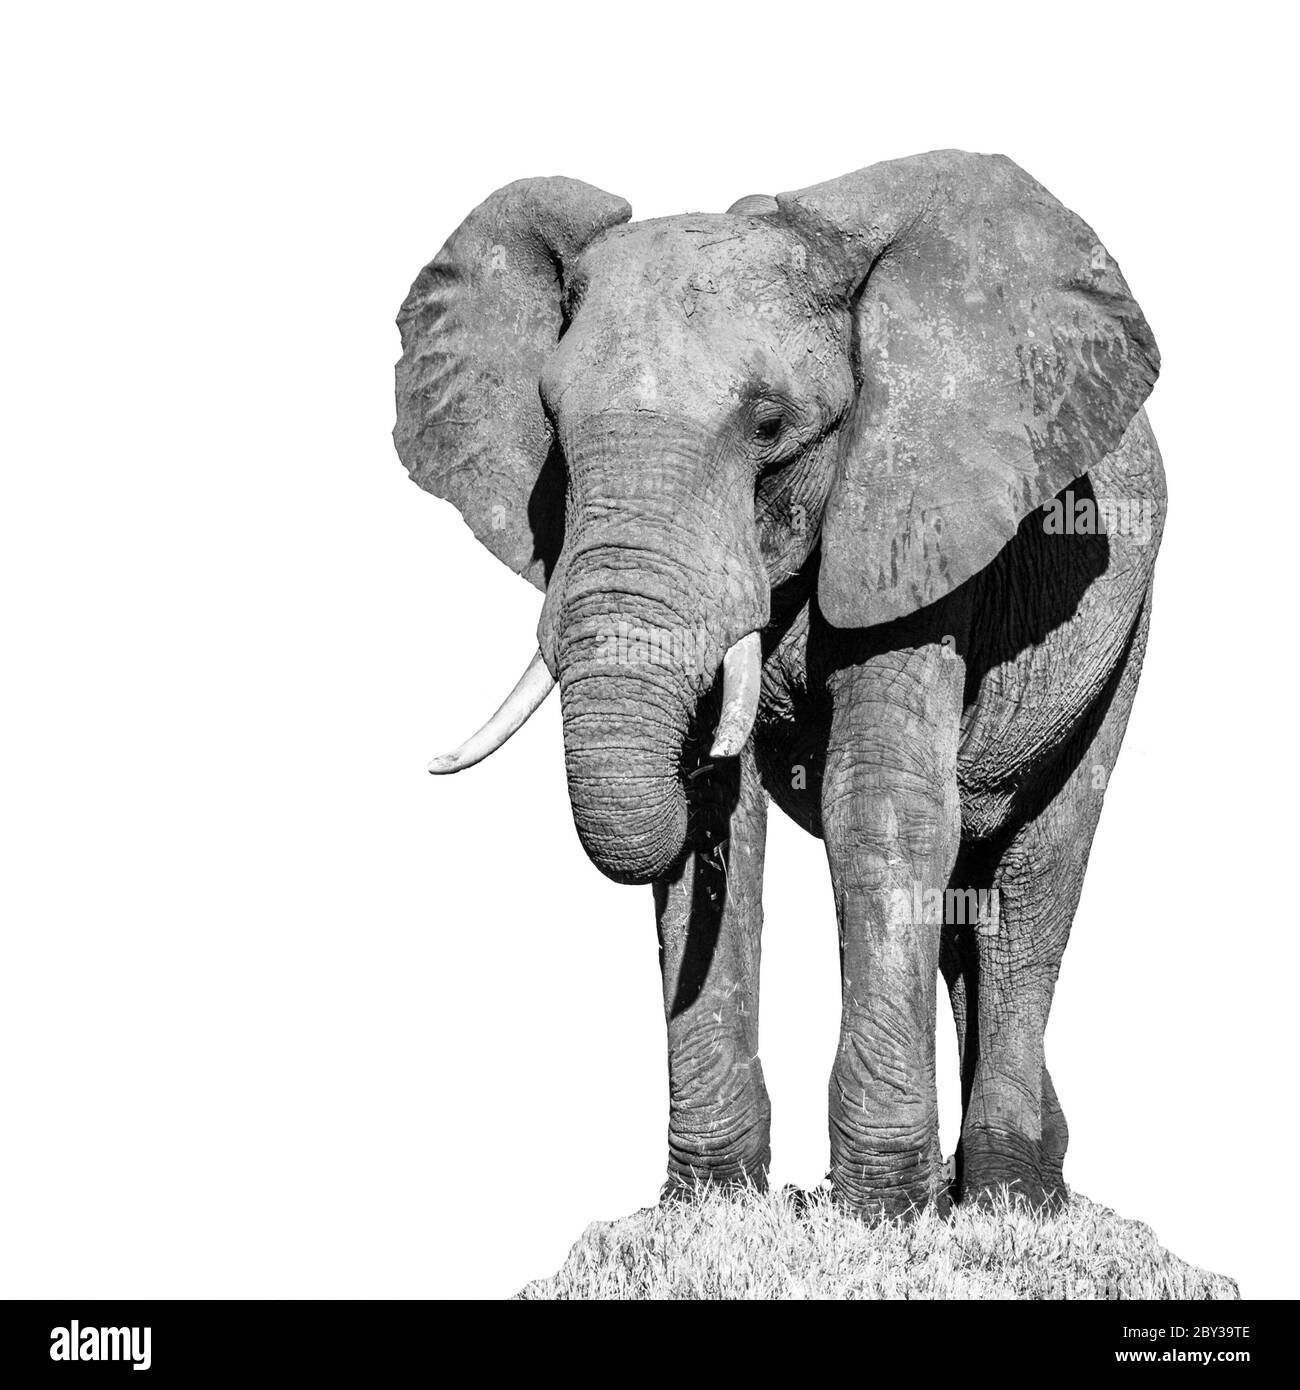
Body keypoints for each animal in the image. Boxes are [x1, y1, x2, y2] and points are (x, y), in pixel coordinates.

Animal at [392, 150, 1163, 1218]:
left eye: (769, 426)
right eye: (550, 424)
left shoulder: (917, 515)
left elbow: (881, 810)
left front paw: (881, 1216)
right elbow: (720, 826)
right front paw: (711, 1208)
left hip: (1126, 618)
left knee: (1037, 872)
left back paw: (1010, 1198)